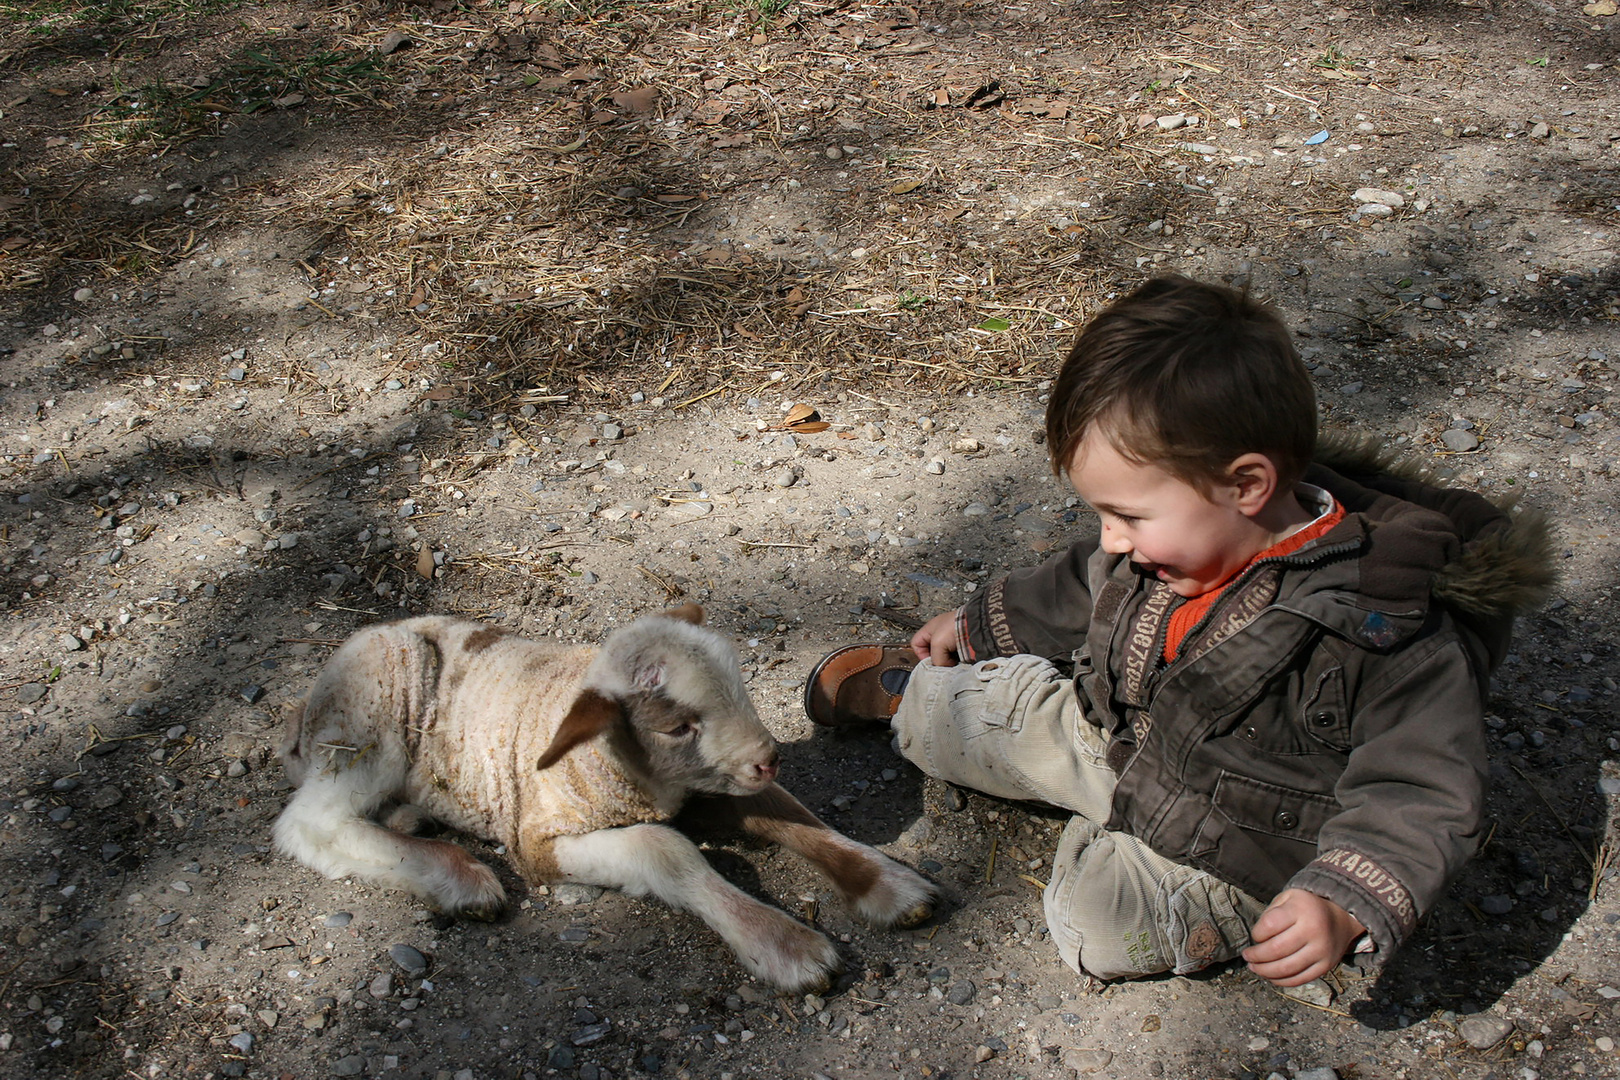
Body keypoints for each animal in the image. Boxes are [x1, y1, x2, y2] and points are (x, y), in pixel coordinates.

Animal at [272, 605, 939, 990]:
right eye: (677, 726)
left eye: (741, 686)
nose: (769, 757)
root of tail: (304, 711)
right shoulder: (537, 840)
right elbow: (662, 849)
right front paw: (786, 944)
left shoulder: (707, 784)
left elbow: (790, 815)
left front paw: (888, 885)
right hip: (376, 698)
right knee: (311, 823)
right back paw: (457, 876)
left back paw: (412, 819)